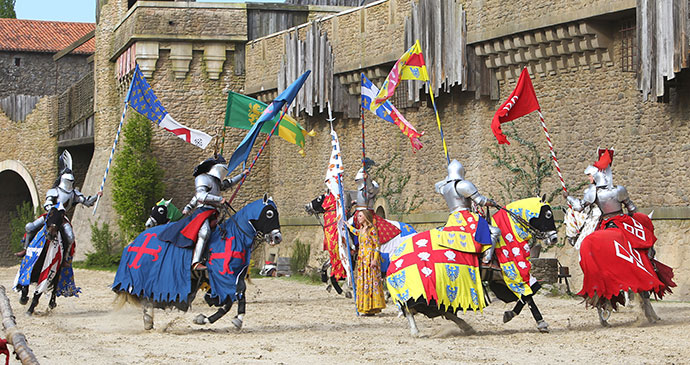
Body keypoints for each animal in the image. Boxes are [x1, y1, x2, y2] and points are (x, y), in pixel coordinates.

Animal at [114, 196, 280, 330]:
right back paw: (149, 318)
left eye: (160, 210)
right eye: (269, 213)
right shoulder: (221, 278)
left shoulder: (232, 278)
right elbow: (230, 299)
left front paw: (229, 318)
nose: (277, 237)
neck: (234, 237)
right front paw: (210, 317)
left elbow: (235, 297)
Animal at [384, 196, 556, 336]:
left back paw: (462, 327)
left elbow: (526, 296)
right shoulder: (512, 273)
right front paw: (541, 323)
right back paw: (420, 331)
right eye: (548, 214)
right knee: (417, 309)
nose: (554, 239)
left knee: (433, 310)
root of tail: (395, 259)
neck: (509, 234)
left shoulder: (501, 278)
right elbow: (528, 296)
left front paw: (510, 315)